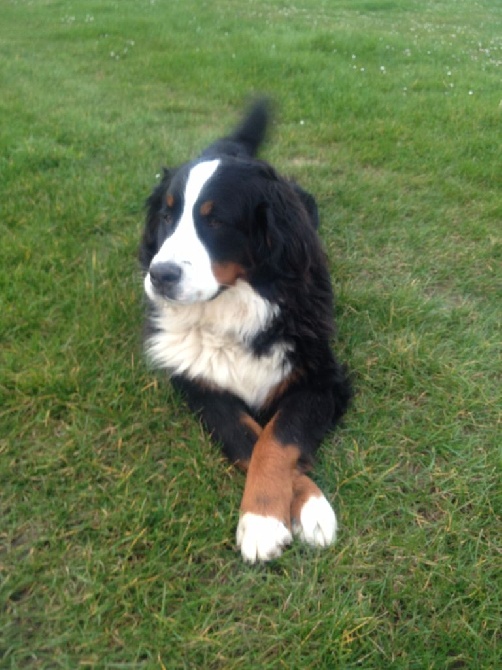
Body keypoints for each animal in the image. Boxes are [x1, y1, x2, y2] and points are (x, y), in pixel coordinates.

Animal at [139, 98, 352, 560]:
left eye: (216, 221)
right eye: (166, 215)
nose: (160, 275)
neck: (231, 307)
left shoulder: (321, 379)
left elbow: (278, 438)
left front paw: (289, 514)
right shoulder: (200, 386)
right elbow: (249, 438)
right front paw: (271, 518)